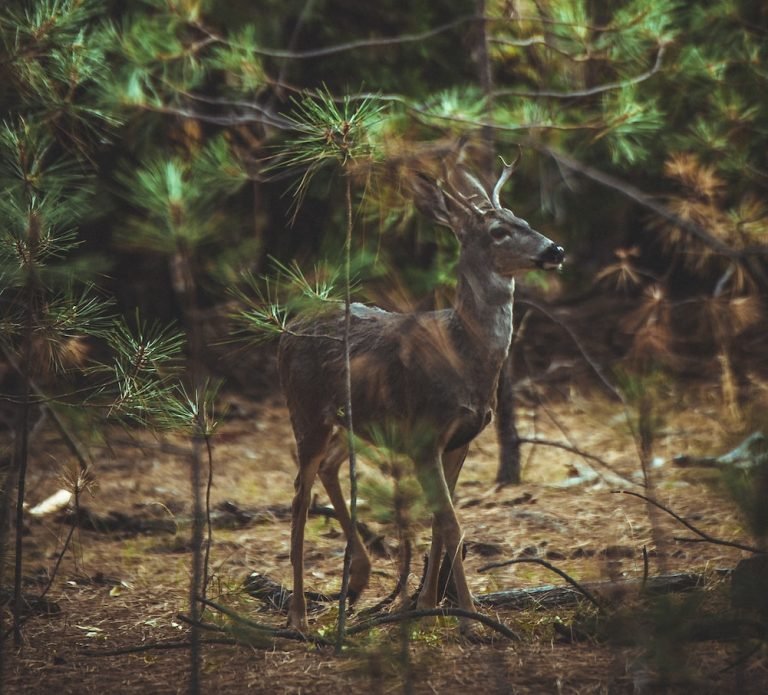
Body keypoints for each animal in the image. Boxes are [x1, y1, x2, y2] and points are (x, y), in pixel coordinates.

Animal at [277, 159, 565, 634]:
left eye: (524, 219)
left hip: (350, 422)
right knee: (300, 496)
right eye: (498, 231)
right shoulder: (425, 433)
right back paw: (298, 615)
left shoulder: (460, 438)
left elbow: (439, 523)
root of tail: (288, 328)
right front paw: (470, 617)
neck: (464, 352)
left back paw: (360, 574)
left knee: (330, 468)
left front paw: (428, 605)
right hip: (306, 410)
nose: (555, 249)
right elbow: (453, 525)